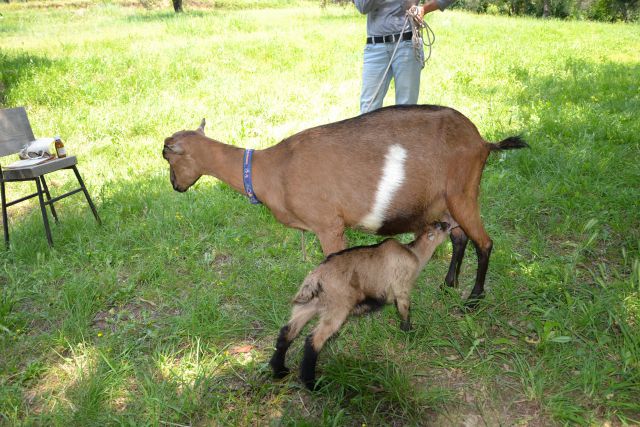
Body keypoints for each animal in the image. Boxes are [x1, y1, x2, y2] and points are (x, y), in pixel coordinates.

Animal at [162, 104, 528, 304]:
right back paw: (448, 285)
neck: (270, 170)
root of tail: (482, 142)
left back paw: (474, 299)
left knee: (484, 242)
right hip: (446, 202)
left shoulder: (329, 225)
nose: (175, 186)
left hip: (463, 192)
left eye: (167, 156)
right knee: (459, 237)